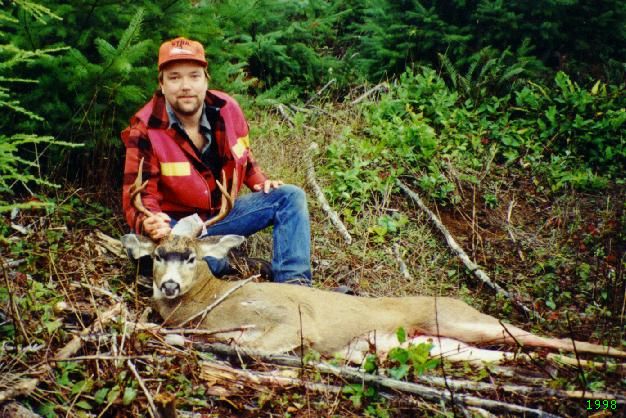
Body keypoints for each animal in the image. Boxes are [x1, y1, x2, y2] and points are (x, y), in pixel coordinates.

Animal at [120, 159, 624, 362]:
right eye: (157, 256)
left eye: (190, 257)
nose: (167, 286)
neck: (210, 303)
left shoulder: (289, 317)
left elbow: (253, 345)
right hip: (436, 342)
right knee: (499, 355)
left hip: (458, 315)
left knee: (531, 335)